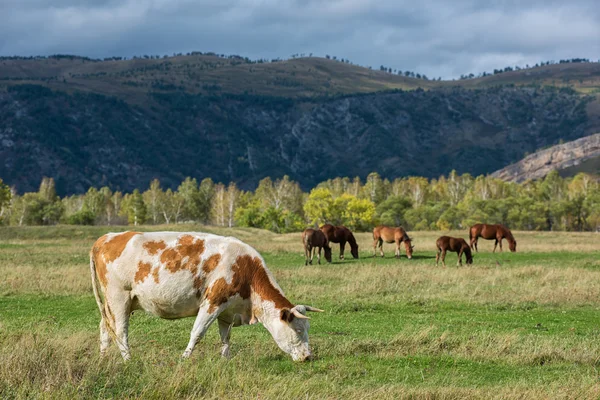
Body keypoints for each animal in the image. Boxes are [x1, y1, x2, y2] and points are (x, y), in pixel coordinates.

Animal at [89, 230, 322, 360]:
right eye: (298, 330)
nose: (308, 357)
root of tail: (107, 238)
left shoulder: (227, 311)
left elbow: (225, 336)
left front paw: (226, 360)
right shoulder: (212, 302)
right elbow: (197, 333)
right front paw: (184, 358)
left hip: (112, 303)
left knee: (104, 327)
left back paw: (103, 358)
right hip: (119, 298)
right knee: (120, 330)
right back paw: (128, 359)